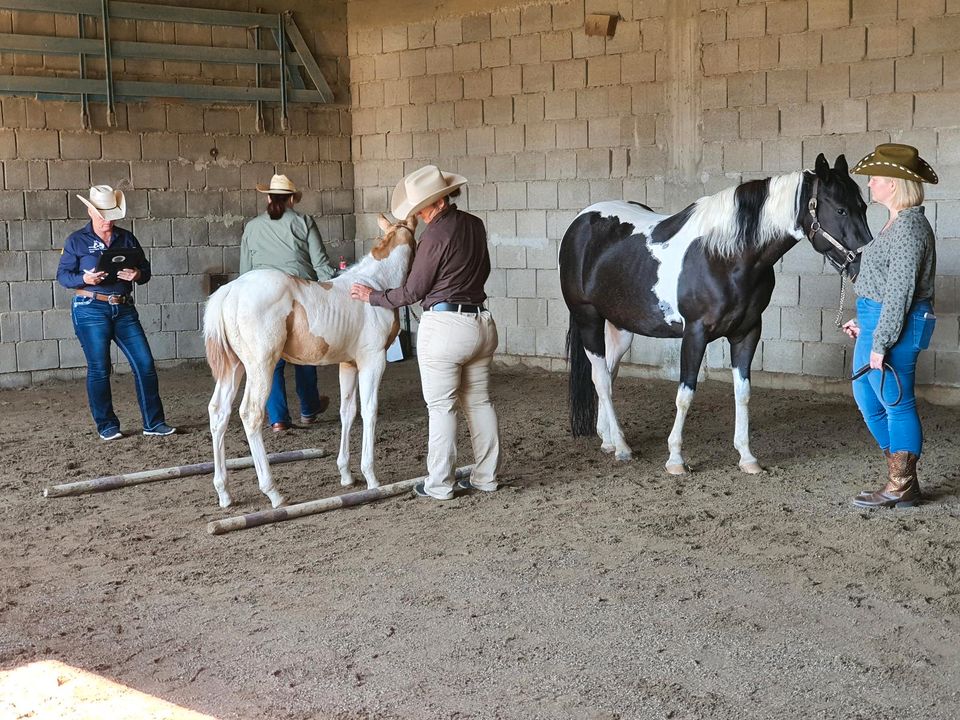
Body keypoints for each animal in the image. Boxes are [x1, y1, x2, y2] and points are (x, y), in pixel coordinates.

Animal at [560, 155, 872, 476]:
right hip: (588, 319)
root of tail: (581, 220)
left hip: (620, 326)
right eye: (840, 209)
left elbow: (743, 393)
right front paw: (675, 459)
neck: (724, 257)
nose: (863, 265)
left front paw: (747, 456)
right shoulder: (694, 334)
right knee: (601, 377)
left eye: (863, 206)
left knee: (608, 373)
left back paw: (608, 439)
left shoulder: (747, 333)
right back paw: (622, 447)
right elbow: (685, 394)